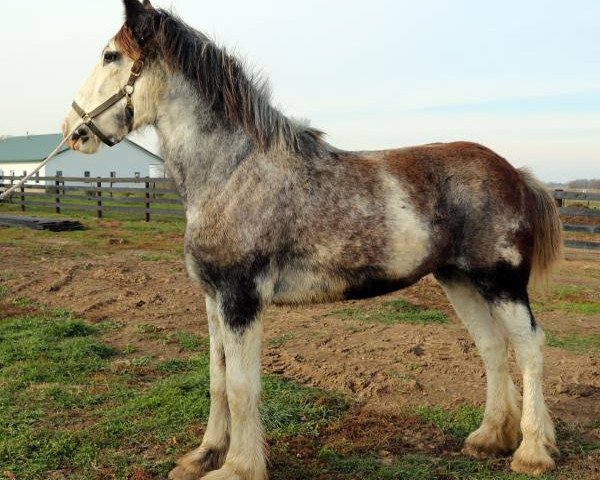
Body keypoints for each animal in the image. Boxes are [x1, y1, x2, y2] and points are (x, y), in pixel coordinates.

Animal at [62, 0, 564, 480]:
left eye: (110, 56)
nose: (72, 130)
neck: (234, 170)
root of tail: (515, 172)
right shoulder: (213, 298)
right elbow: (218, 380)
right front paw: (203, 456)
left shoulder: (241, 299)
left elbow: (242, 387)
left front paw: (238, 467)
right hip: (459, 280)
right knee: (492, 348)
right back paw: (490, 438)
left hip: (502, 283)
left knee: (529, 348)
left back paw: (532, 452)